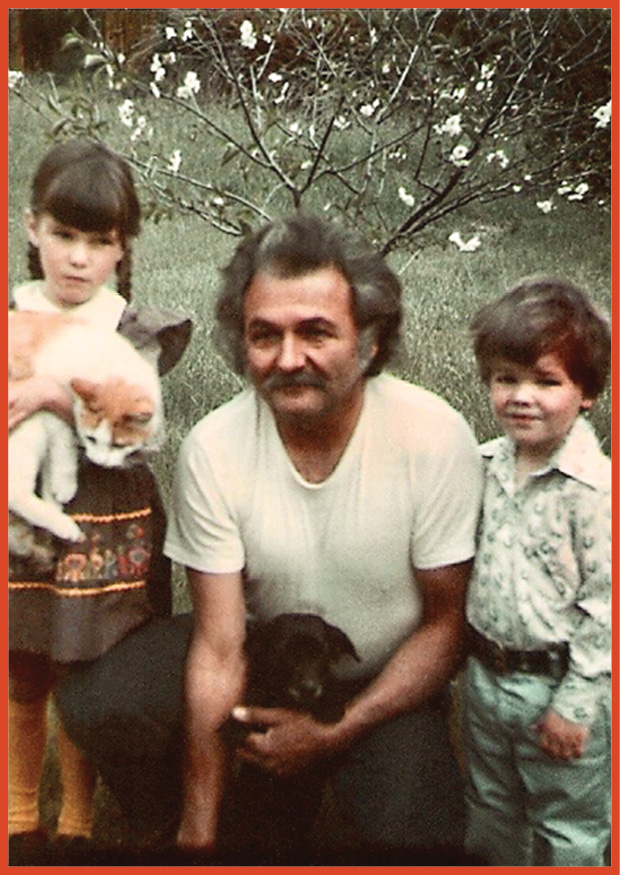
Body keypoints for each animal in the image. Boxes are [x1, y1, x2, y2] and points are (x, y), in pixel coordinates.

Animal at [8, 312, 163, 544]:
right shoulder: (48, 399)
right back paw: (64, 526)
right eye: (91, 439)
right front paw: (65, 483)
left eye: (119, 445)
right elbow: (65, 442)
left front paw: (55, 493)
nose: (100, 462)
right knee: (13, 490)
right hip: (27, 426)